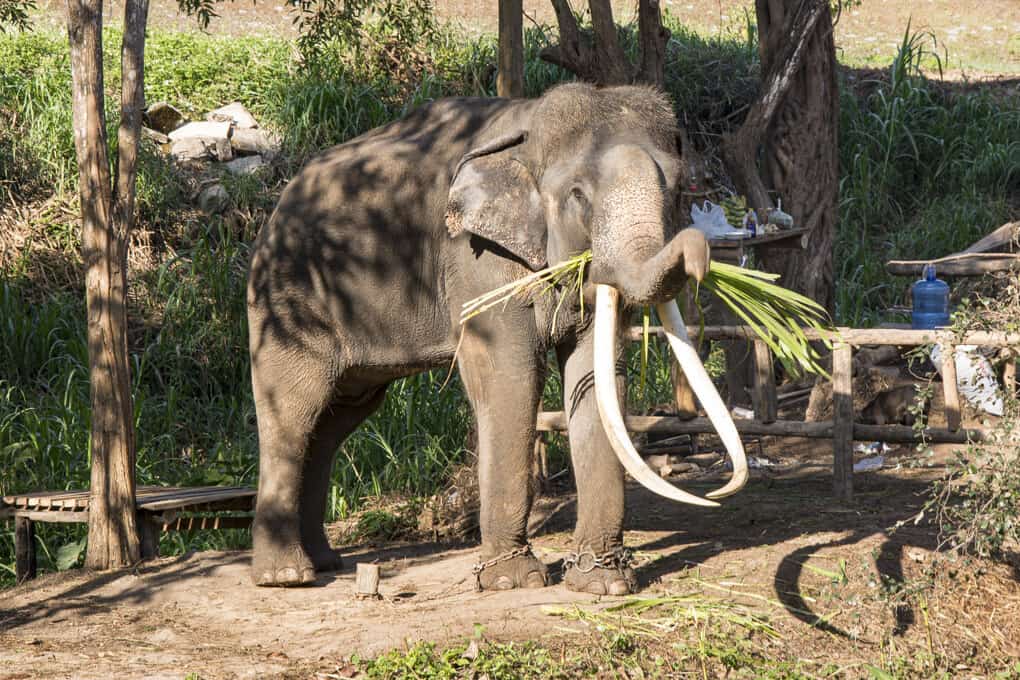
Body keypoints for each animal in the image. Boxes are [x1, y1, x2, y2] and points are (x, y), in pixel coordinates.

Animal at [242, 81, 746, 595]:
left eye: (677, 190)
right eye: (578, 195)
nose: (701, 249)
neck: (531, 127)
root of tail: (276, 210)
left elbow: (595, 372)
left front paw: (605, 584)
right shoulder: (476, 256)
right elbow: (512, 372)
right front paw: (513, 581)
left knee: (336, 419)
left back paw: (326, 562)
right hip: (286, 300)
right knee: (295, 410)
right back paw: (287, 576)